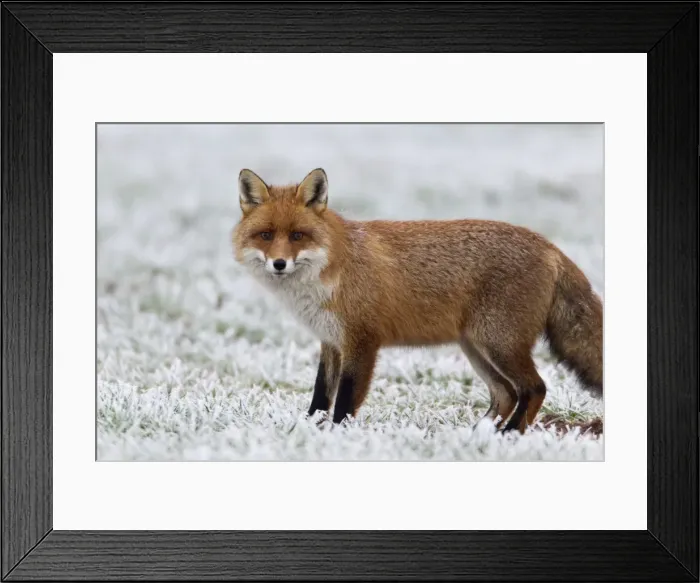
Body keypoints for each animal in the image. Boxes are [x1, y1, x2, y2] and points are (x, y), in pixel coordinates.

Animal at [232, 167, 603, 433]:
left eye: (298, 235)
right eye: (266, 235)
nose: (279, 264)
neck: (333, 269)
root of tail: (550, 246)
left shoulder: (362, 341)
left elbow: (345, 401)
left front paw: (337, 436)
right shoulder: (331, 341)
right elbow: (321, 395)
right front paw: (307, 430)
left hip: (499, 344)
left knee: (535, 388)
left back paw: (509, 435)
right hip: (477, 348)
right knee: (506, 394)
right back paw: (476, 436)